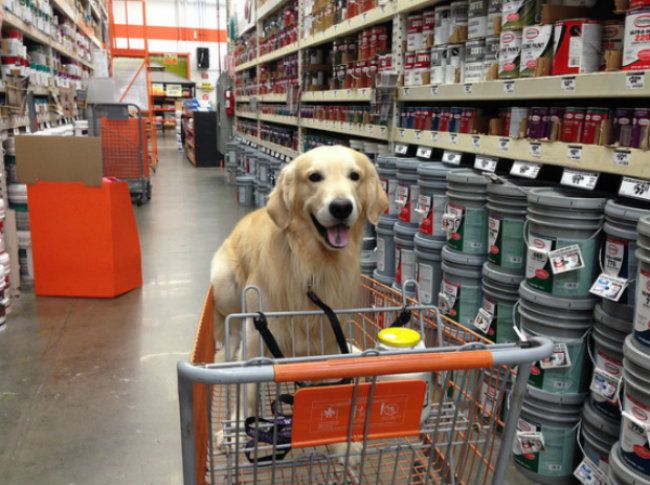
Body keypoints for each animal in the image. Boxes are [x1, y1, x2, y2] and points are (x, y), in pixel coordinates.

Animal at [210, 145, 388, 408]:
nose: (341, 207)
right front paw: (241, 420)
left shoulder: (327, 334)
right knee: (229, 329)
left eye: (355, 176)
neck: (313, 264)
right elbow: (249, 390)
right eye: (314, 176)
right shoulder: (256, 333)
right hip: (225, 284)